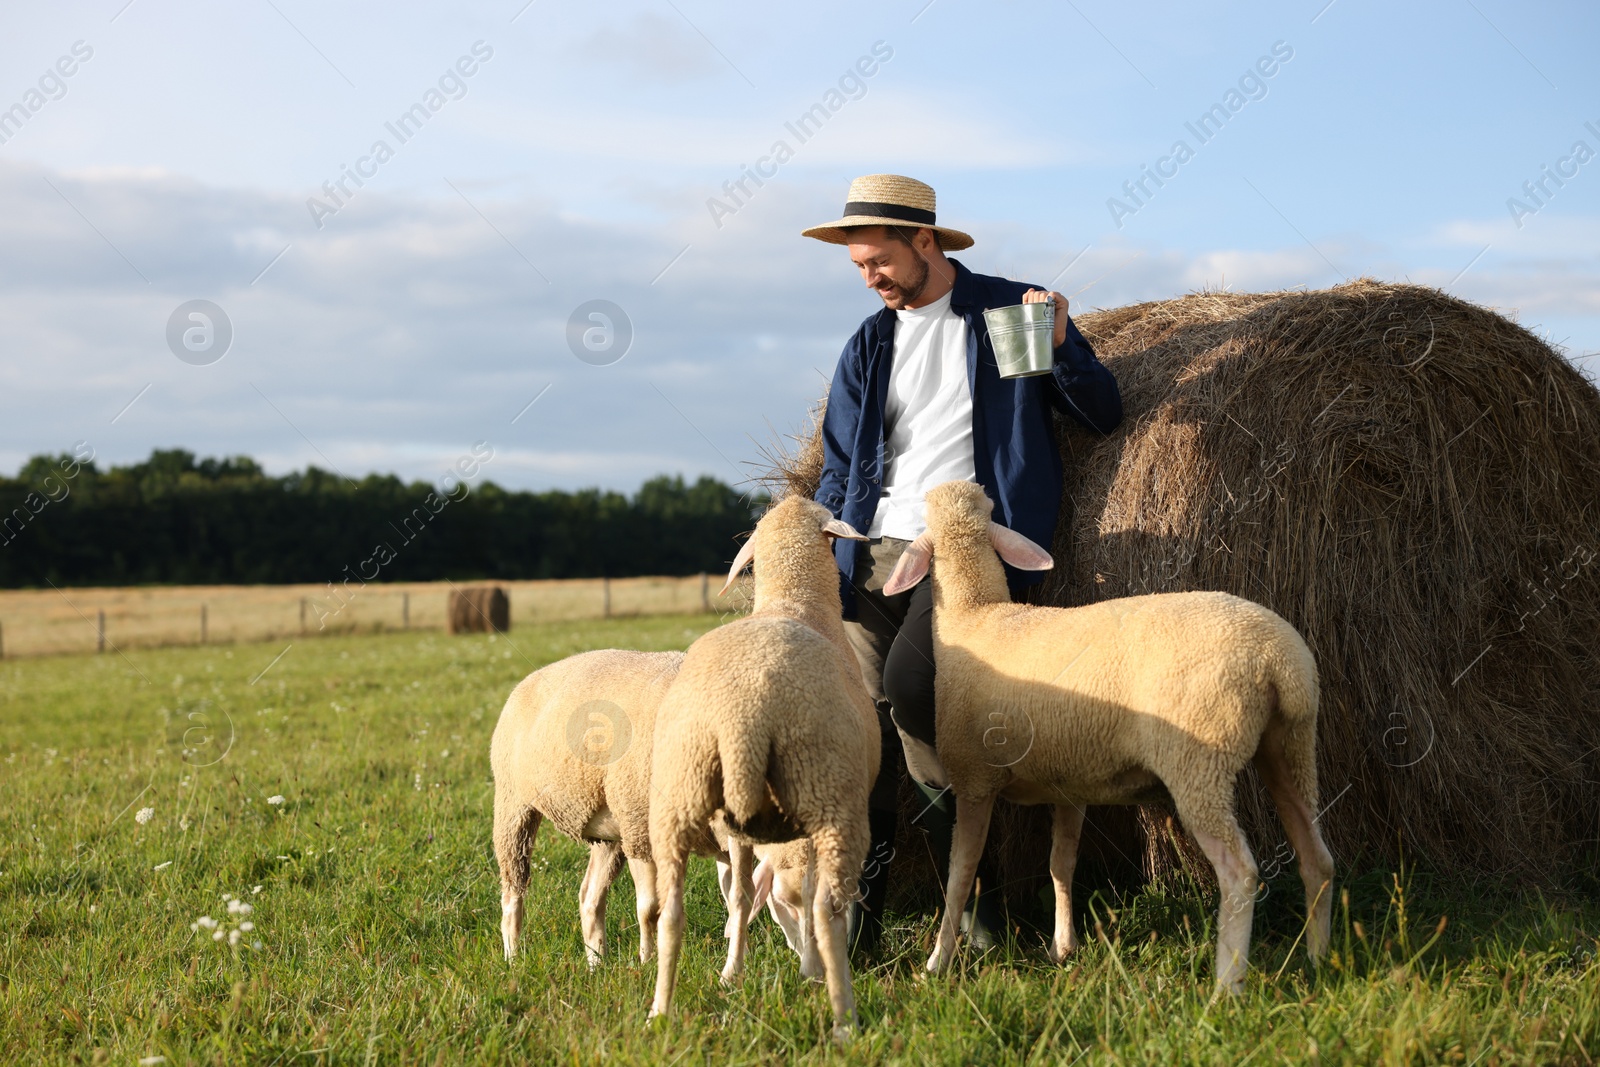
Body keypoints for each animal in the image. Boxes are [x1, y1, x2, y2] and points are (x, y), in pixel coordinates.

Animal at [646, 502, 883, 1043]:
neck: (793, 600)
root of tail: (744, 715)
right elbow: (805, 894)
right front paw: (808, 968)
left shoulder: (741, 830)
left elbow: (739, 896)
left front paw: (735, 968)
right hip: (829, 793)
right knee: (826, 907)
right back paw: (843, 1016)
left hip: (679, 791)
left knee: (675, 913)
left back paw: (664, 1010)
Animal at [883, 479, 1331, 998]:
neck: (977, 614)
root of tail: (1278, 660)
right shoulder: (1068, 785)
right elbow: (1061, 863)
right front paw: (1063, 947)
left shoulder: (974, 780)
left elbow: (961, 874)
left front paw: (938, 961)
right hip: (1292, 746)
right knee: (1317, 859)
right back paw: (1319, 960)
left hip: (1200, 759)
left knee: (1240, 874)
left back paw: (1226, 987)